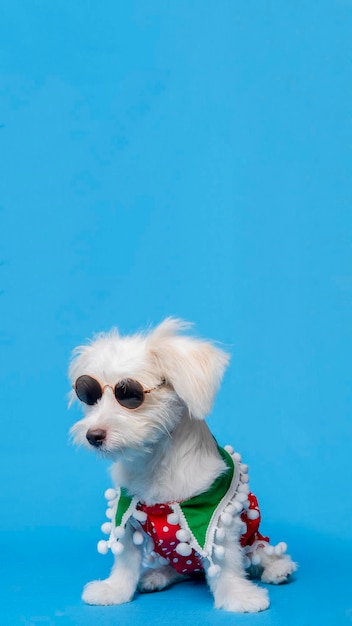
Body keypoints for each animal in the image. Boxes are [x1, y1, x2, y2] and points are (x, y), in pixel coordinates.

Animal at [69, 320, 296, 612]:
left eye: (129, 395)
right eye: (89, 396)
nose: (93, 436)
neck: (155, 461)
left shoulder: (215, 518)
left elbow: (227, 563)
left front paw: (237, 595)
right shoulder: (127, 515)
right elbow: (125, 561)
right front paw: (115, 590)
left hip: (254, 536)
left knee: (260, 554)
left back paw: (279, 568)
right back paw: (158, 575)